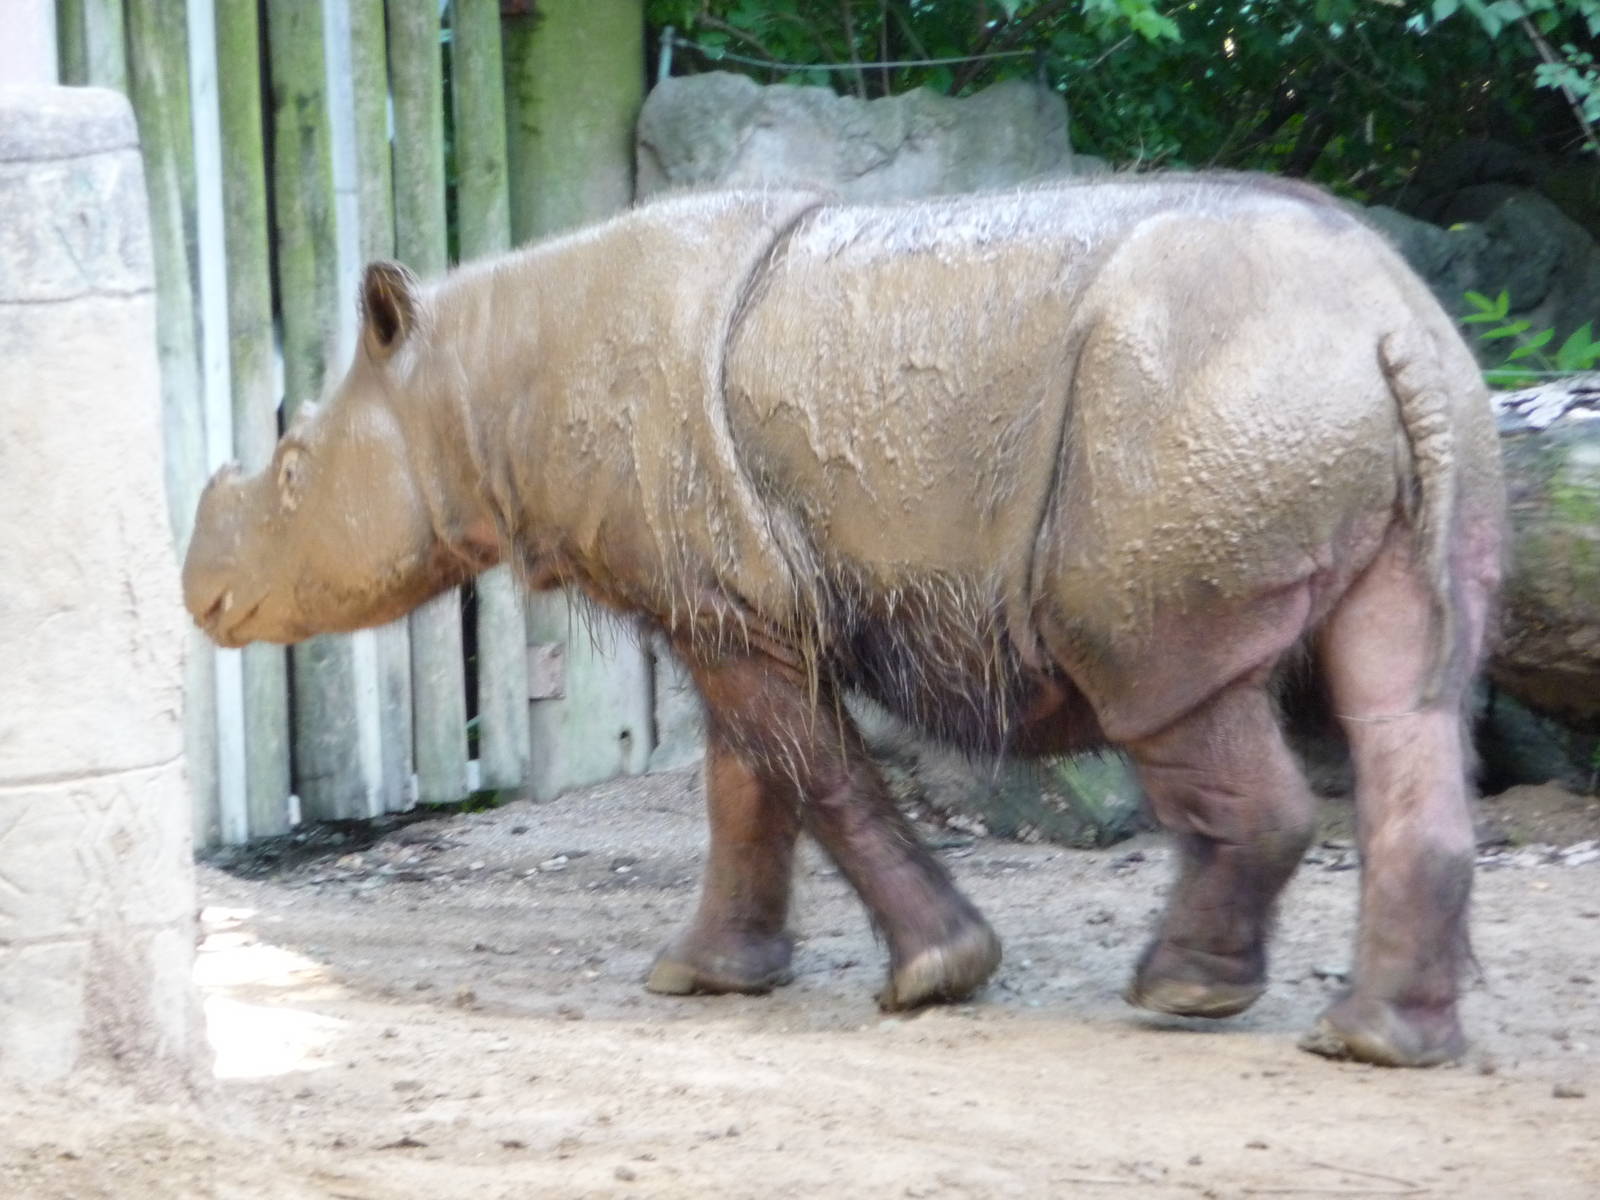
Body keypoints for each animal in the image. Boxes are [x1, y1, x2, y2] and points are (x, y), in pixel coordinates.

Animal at [184, 176, 1505, 1067]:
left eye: (291, 476)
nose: (199, 599)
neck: (473, 374)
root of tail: (1388, 321)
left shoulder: (727, 602)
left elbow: (812, 771)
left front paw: (933, 979)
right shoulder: (728, 600)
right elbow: (747, 782)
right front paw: (704, 978)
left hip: (1193, 413)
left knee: (1159, 678)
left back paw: (1181, 998)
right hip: (1397, 401)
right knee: (1407, 696)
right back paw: (1379, 1043)